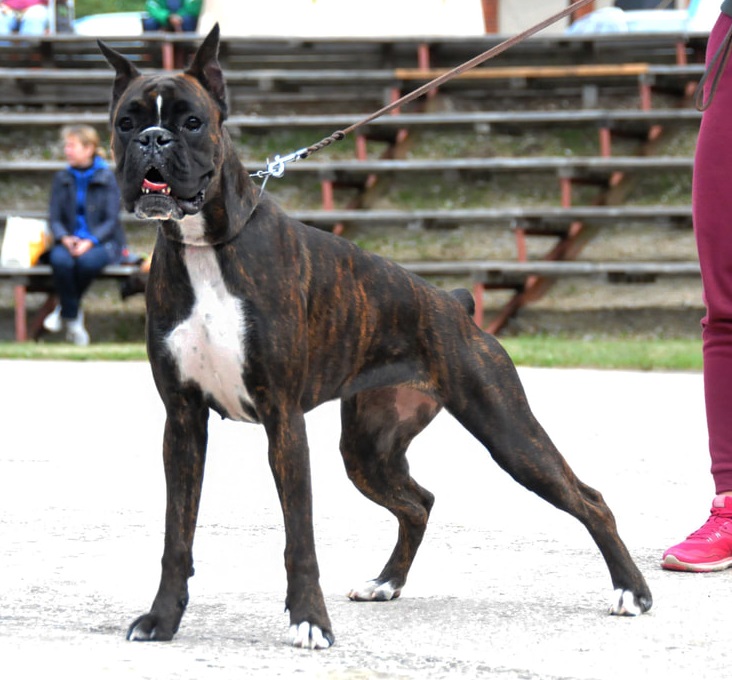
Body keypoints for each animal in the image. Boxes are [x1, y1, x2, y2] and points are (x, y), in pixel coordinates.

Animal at [98, 26, 652, 649]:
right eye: (126, 121)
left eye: (192, 121)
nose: (153, 139)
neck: (207, 246)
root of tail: (453, 304)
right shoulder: (183, 421)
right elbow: (178, 533)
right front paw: (162, 619)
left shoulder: (282, 420)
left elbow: (299, 538)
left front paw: (309, 621)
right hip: (368, 447)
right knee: (419, 503)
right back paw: (385, 582)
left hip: (509, 432)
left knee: (589, 499)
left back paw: (632, 591)